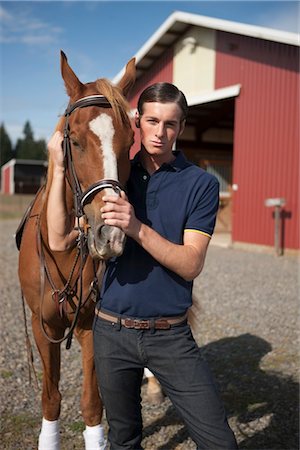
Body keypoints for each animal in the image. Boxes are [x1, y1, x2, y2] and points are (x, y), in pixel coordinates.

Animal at [17, 51, 136, 450]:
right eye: (77, 142)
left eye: (130, 142)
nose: (111, 234)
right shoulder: (43, 328)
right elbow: (51, 399)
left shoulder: (90, 328)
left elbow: (92, 404)